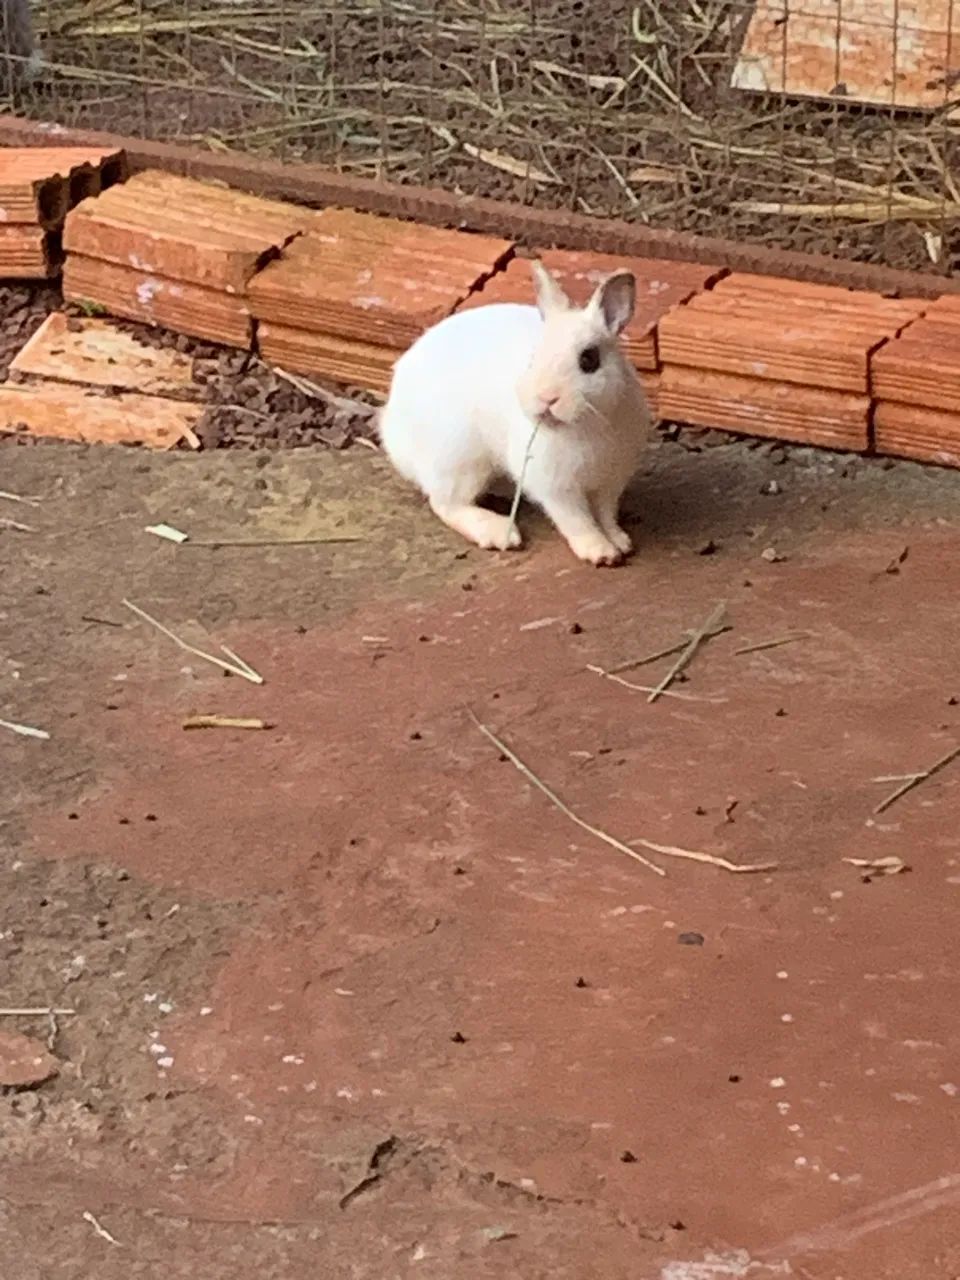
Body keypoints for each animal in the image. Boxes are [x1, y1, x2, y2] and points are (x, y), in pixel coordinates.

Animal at [378, 258, 650, 566]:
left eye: (589, 360)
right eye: (533, 358)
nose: (547, 398)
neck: (586, 425)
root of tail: (393, 429)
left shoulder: (610, 482)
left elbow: (605, 514)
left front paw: (620, 542)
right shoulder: (556, 489)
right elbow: (577, 521)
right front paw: (600, 552)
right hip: (462, 461)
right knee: (446, 503)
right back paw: (498, 532)